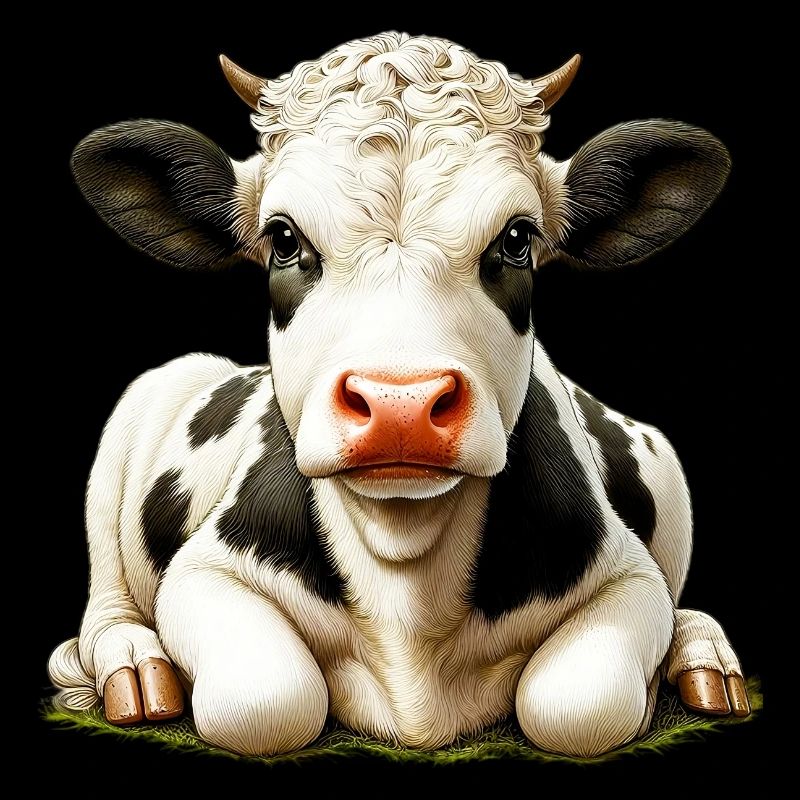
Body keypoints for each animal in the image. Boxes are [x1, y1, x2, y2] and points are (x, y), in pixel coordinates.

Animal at [48, 32, 749, 759]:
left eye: (517, 238)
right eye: (284, 239)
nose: (399, 404)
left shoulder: (629, 576)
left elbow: (582, 705)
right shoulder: (204, 572)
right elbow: (266, 700)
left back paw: (706, 663)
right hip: (134, 416)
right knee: (105, 607)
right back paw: (134, 672)